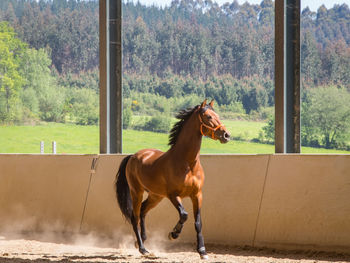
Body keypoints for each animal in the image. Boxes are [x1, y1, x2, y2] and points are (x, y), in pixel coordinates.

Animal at [115, 100, 230, 260]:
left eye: (217, 115)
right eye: (208, 116)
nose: (226, 135)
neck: (188, 164)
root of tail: (133, 156)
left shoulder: (197, 195)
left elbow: (198, 222)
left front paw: (202, 251)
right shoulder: (173, 195)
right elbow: (184, 215)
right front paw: (173, 234)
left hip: (156, 196)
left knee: (143, 211)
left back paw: (141, 241)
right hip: (137, 192)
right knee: (135, 216)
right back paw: (143, 249)